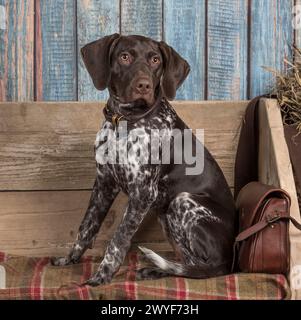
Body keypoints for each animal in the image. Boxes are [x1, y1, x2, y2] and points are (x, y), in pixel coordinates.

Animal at [51, 33, 234, 286]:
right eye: (124, 57)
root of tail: (231, 260)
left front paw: (102, 275)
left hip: (181, 201)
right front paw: (70, 259)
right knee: (187, 262)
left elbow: (118, 239)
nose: (144, 85)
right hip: (165, 215)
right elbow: (86, 226)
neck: (123, 122)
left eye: (156, 60)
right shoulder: (104, 184)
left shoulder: (143, 193)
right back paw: (156, 270)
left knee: (201, 266)